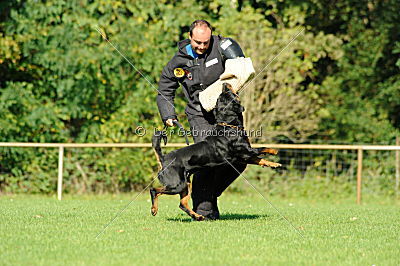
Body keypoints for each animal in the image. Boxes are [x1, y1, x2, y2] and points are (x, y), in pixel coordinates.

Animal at [151, 83, 282, 220]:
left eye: (220, 97)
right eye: (230, 94)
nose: (224, 84)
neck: (229, 126)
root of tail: (163, 159)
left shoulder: (243, 157)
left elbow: (260, 160)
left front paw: (274, 164)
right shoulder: (247, 151)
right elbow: (262, 148)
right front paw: (274, 151)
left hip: (185, 184)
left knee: (182, 204)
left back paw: (198, 216)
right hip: (176, 184)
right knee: (154, 190)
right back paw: (154, 209)